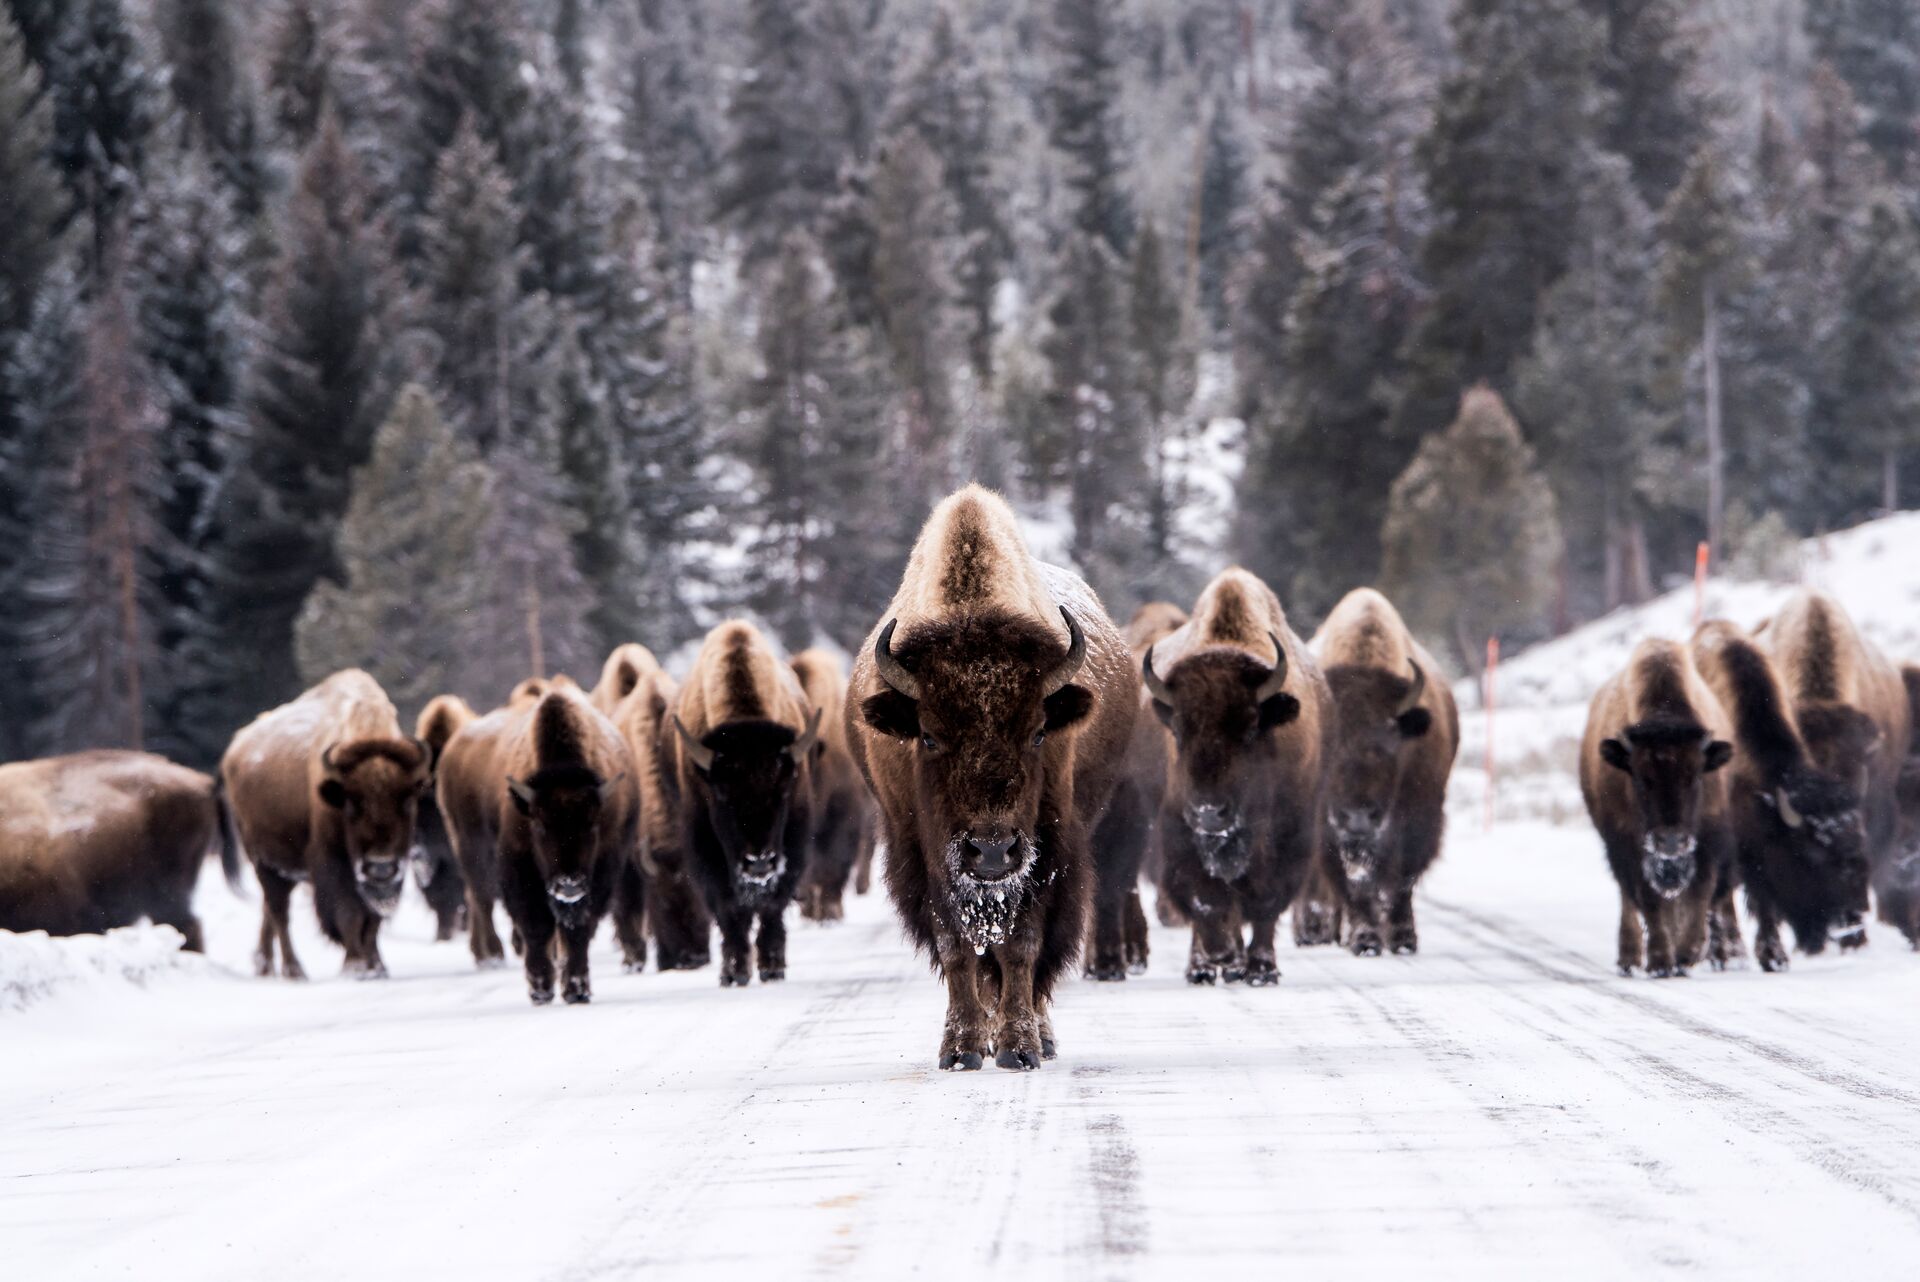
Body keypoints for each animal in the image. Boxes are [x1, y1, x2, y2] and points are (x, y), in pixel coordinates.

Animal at [221, 670, 432, 979]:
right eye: (352, 803)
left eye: (406, 800)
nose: (380, 866)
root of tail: (234, 751)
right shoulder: (335, 864)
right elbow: (348, 913)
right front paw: (354, 966)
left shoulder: (389, 873)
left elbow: (372, 919)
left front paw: (377, 966)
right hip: (264, 862)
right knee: (279, 912)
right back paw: (294, 970)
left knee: (270, 910)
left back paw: (264, 965)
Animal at [849, 485, 1136, 1070]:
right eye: (928, 736)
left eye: (1039, 732)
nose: (992, 850)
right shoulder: (926, 856)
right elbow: (957, 946)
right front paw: (961, 1048)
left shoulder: (1047, 851)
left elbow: (1022, 945)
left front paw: (1020, 1047)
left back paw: (1038, 1036)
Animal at [1143, 568, 1332, 986]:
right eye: (1178, 730)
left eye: (1250, 727)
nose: (1210, 812)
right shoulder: (1179, 835)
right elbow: (1206, 902)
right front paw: (1220, 956)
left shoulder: (1289, 839)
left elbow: (1265, 905)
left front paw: (1261, 969)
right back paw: (1203, 967)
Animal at [1581, 638, 1739, 976]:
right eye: (1641, 778)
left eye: (1695, 776)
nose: (1670, 840)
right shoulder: (1629, 846)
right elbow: (1649, 900)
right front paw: (1660, 962)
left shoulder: (1707, 842)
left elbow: (1699, 893)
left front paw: (1687, 953)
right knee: (1629, 899)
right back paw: (1629, 959)